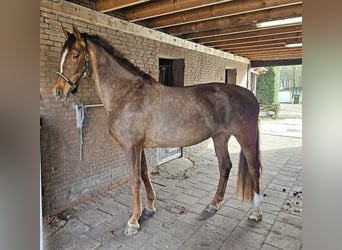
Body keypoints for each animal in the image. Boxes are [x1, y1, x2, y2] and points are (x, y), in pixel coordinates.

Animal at [53, 25, 264, 234]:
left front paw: (133, 221)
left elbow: (134, 179)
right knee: (225, 166)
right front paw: (148, 208)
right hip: (220, 137)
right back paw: (213, 204)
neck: (127, 94)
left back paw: (256, 212)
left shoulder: (131, 147)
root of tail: (251, 96)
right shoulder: (139, 146)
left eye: (76, 54)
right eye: (62, 53)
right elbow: (145, 174)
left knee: (254, 169)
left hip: (245, 138)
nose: (58, 91)